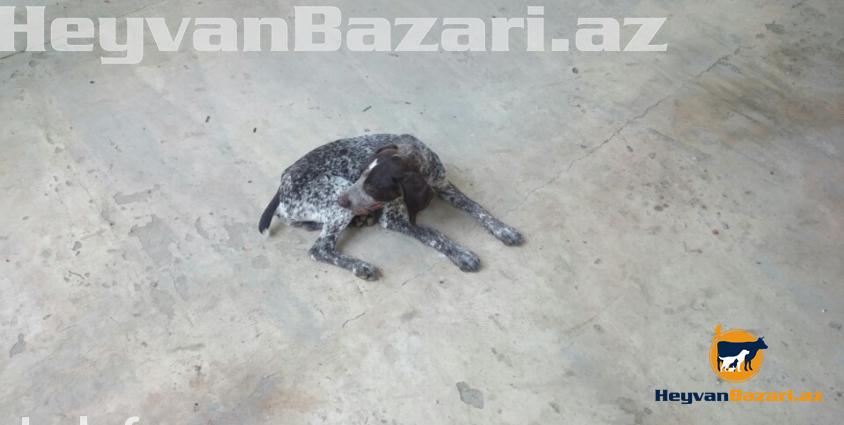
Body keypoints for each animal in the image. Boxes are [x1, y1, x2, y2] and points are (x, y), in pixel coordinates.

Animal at [258, 134, 523, 280]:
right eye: (359, 175)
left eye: (372, 187)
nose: (341, 199)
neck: (415, 158)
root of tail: (283, 180)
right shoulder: (395, 220)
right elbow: (434, 234)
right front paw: (461, 253)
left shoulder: (444, 186)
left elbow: (478, 209)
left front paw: (504, 230)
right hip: (335, 193)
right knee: (319, 249)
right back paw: (361, 266)